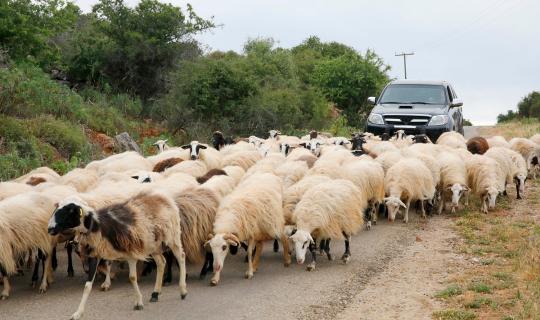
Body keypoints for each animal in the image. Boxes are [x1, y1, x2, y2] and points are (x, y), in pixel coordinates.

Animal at [48, 189, 188, 318]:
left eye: (68, 211)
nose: (49, 229)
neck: (98, 226)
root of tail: (163, 197)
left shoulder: (131, 253)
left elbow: (132, 277)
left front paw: (138, 302)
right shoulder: (95, 255)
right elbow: (87, 286)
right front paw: (78, 313)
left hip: (172, 236)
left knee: (181, 257)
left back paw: (183, 290)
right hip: (153, 244)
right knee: (161, 262)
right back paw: (155, 293)